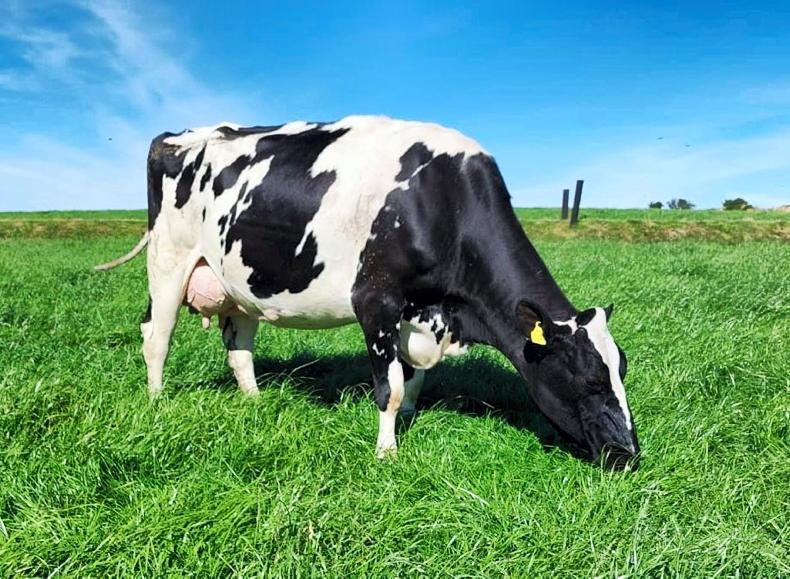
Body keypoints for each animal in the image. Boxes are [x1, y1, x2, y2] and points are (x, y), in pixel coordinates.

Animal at [96, 115, 640, 468]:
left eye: (622, 371)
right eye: (591, 380)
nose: (629, 454)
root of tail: (181, 133)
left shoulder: (420, 313)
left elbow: (415, 379)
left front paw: (412, 417)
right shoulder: (376, 302)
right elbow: (391, 387)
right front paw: (386, 451)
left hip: (241, 280)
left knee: (239, 348)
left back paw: (255, 402)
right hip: (168, 259)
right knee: (156, 336)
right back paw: (156, 401)